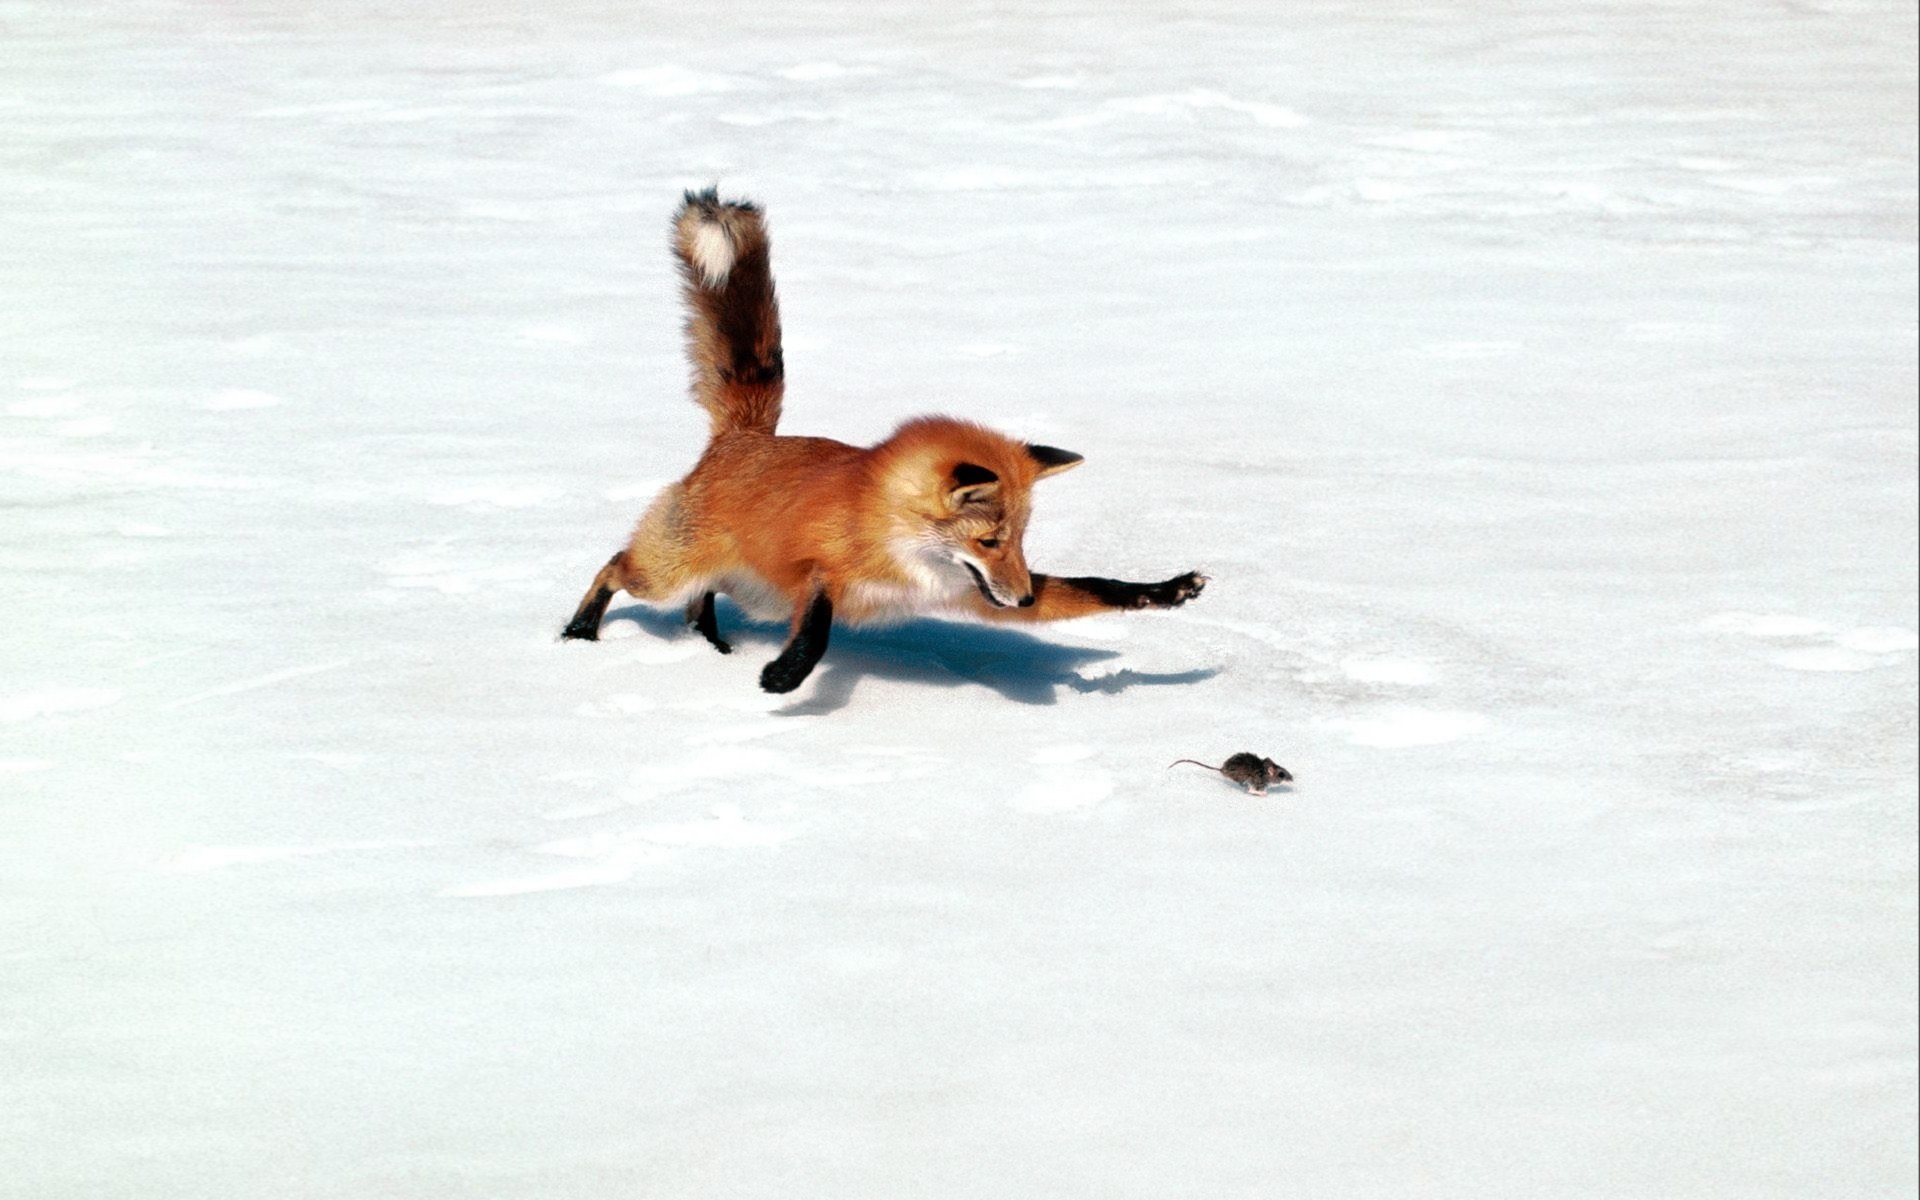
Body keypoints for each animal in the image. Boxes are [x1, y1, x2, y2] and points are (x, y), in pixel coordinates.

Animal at [561, 188, 1208, 694]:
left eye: (1021, 541)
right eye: (990, 540)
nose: (1024, 599)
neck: (898, 544)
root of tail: (743, 437)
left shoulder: (972, 593)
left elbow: (1099, 587)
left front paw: (1167, 591)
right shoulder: (817, 569)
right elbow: (819, 624)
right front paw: (787, 675)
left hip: (737, 586)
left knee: (699, 603)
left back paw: (711, 647)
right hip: (668, 573)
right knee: (615, 567)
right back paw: (578, 632)